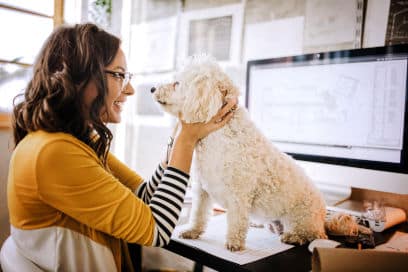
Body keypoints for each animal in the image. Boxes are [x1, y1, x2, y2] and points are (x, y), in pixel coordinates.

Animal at [151, 55, 326, 251]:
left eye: (177, 83)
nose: (152, 88)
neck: (218, 136)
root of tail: (322, 216)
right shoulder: (202, 190)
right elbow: (199, 213)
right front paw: (193, 231)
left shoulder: (239, 194)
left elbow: (236, 220)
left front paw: (234, 242)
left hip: (302, 217)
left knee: (311, 234)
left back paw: (294, 236)